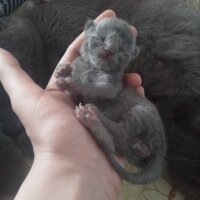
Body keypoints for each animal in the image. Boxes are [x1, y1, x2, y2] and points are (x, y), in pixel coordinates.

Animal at [55, 17, 166, 184]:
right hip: (128, 146)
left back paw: (93, 115)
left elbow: (91, 86)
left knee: (122, 131)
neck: (91, 67)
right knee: (115, 145)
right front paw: (63, 69)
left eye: (122, 49)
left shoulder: (111, 87)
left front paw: (70, 81)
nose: (109, 50)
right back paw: (93, 122)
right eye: (100, 38)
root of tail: (162, 144)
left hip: (140, 112)